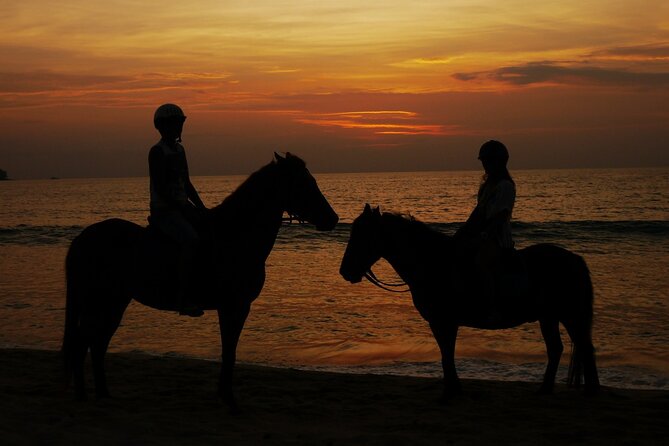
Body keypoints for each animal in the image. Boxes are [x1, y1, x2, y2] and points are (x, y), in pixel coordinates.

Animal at [64, 154, 340, 412]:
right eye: (304, 183)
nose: (334, 218)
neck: (235, 236)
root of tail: (82, 239)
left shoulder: (236, 307)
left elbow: (229, 350)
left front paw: (224, 396)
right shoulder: (233, 306)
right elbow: (229, 351)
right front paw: (229, 400)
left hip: (114, 302)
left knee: (97, 344)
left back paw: (103, 395)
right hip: (98, 302)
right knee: (82, 343)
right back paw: (82, 396)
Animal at [340, 206, 600, 400]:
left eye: (362, 235)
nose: (345, 271)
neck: (433, 264)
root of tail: (575, 259)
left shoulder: (444, 321)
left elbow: (447, 353)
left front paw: (450, 392)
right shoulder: (442, 322)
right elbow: (446, 353)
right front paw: (454, 389)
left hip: (571, 315)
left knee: (585, 347)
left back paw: (590, 391)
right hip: (549, 317)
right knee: (556, 349)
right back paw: (545, 389)